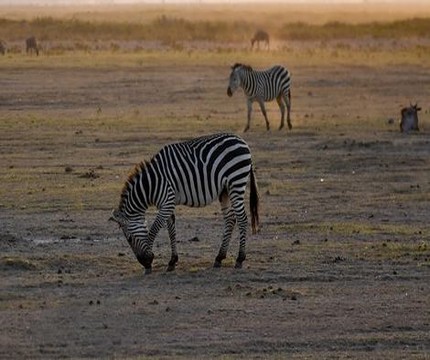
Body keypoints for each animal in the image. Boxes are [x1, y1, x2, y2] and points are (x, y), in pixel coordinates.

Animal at [110, 134, 258, 274]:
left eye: (129, 239)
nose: (143, 262)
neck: (151, 184)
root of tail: (242, 141)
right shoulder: (167, 204)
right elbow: (171, 230)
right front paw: (172, 261)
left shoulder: (167, 201)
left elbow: (153, 230)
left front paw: (149, 262)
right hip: (225, 190)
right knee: (230, 219)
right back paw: (219, 258)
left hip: (236, 182)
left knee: (242, 219)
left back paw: (240, 259)